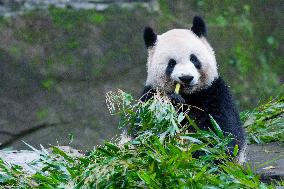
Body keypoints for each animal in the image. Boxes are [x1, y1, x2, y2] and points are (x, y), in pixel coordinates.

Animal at [141, 16, 245, 163]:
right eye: (171, 63)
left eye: (194, 59)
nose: (186, 78)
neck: (190, 96)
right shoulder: (151, 95)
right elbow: (146, 131)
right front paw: (173, 101)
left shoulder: (214, 91)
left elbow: (221, 129)